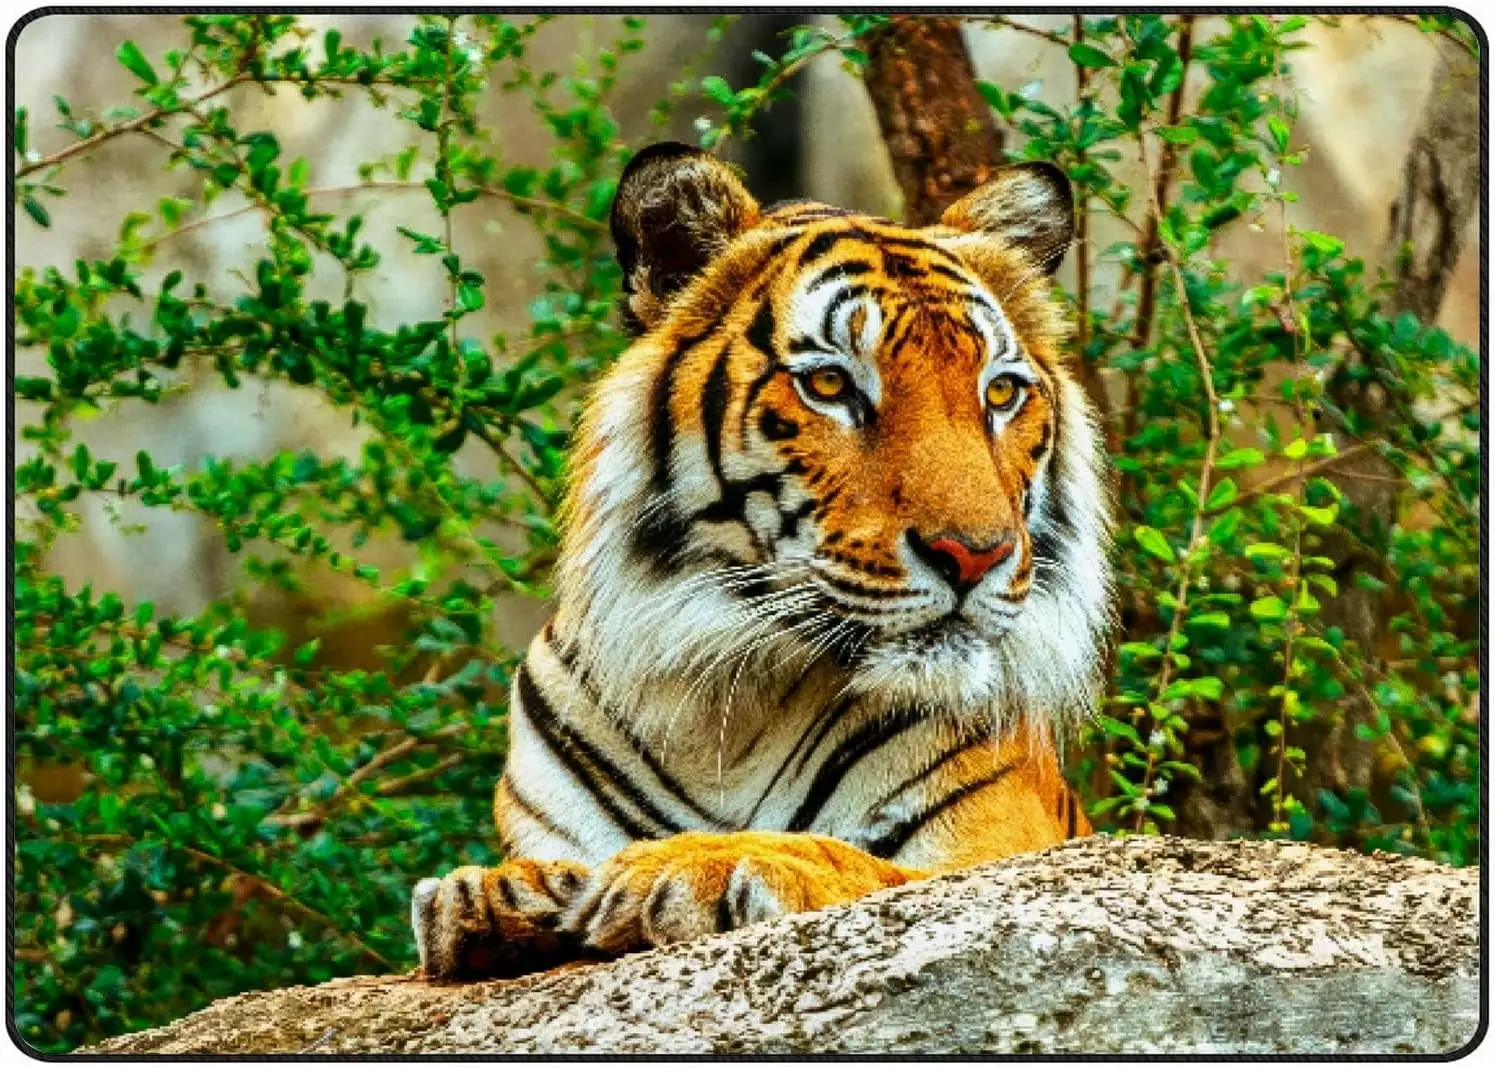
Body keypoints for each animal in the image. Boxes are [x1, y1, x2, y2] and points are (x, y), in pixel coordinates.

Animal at [411, 142, 1115, 979]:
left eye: (1000, 393)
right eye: (830, 384)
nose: (974, 555)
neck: (725, 702)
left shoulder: (1000, 849)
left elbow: (853, 861)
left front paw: (688, 864)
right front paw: (504, 891)